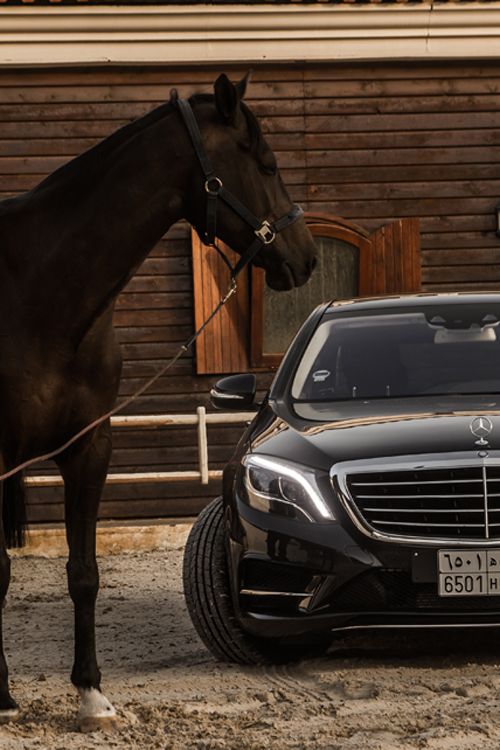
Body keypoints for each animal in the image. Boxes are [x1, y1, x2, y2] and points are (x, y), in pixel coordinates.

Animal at [0, 73, 314, 732]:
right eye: (267, 165)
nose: (306, 256)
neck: (36, 290)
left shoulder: (90, 447)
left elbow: (84, 574)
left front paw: (92, 695)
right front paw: (1, 694)